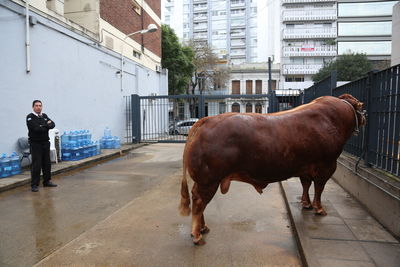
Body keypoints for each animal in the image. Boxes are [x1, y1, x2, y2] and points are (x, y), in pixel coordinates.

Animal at [180, 93, 368, 245]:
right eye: (360, 107)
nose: (365, 117)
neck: (335, 118)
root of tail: (206, 120)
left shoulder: (305, 168)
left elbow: (306, 184)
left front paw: (306, 203)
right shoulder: (327, 165)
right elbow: (319, 188)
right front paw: (319, 208)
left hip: (204, 180)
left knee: (198, 200)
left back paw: (203, 228)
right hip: (209, 180)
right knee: (199, 202)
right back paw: (197, 235)